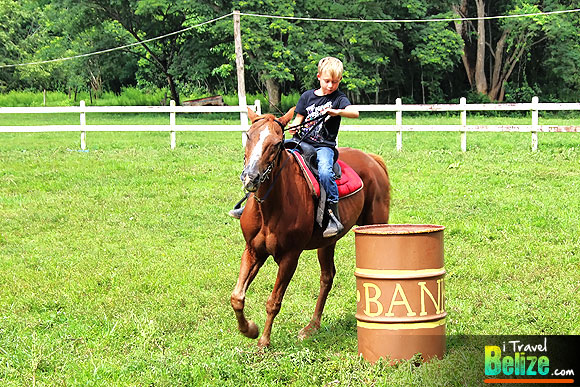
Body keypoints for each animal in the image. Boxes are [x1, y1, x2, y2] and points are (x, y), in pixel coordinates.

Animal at [231, 107, 390, 348]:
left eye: (276, 143)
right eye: (248, 136)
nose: (251, 177)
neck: (269, 206)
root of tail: (372, 160)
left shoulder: (290, 257)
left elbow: (274, 301)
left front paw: (264, 342)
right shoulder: (253, 251)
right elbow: (237, 297)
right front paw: (249, 329)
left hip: (375, 226)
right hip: (327, 242)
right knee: (327, 277)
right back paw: (312, 326)